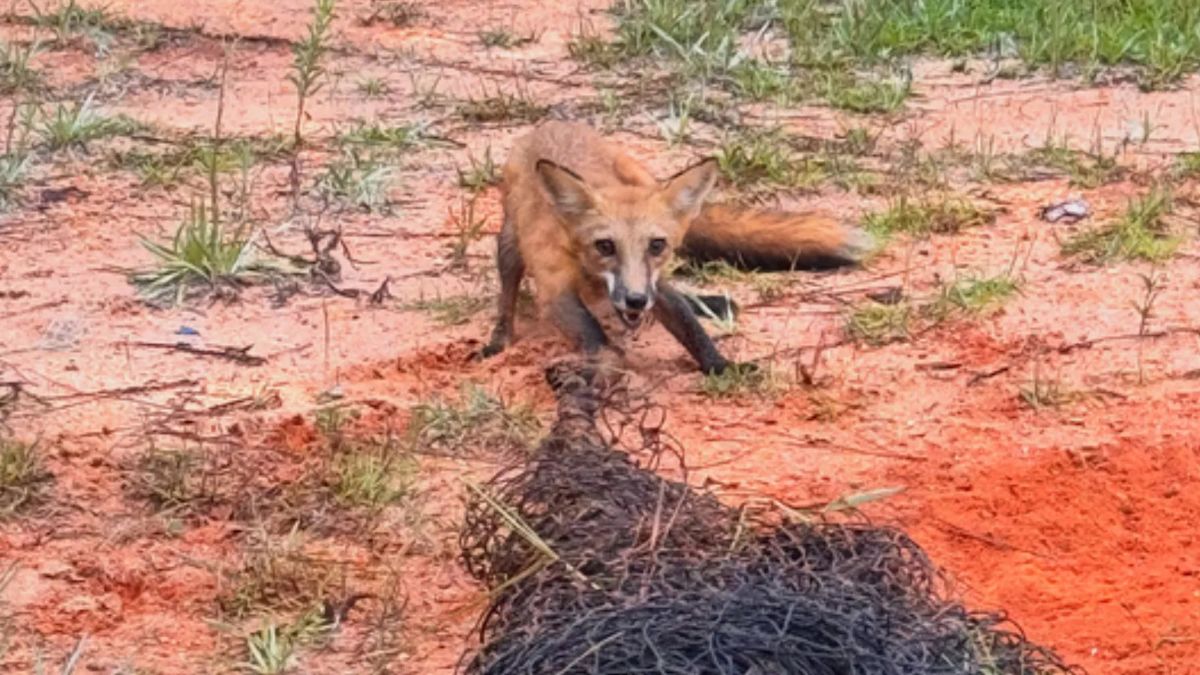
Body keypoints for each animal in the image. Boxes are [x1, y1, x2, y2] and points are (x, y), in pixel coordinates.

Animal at [479, 120, 871, 374]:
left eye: (656, 245)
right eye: (604, 245)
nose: (636, 300)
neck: (592, 277)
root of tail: (550, 123)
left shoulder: (656, 283)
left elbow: (689, 327)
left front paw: (722, 368)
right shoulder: (555, 288)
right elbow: (595, 336)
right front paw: (609, 366)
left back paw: (711, 304)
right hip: (509, 243)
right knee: (506, 297)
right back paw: (498, 341)